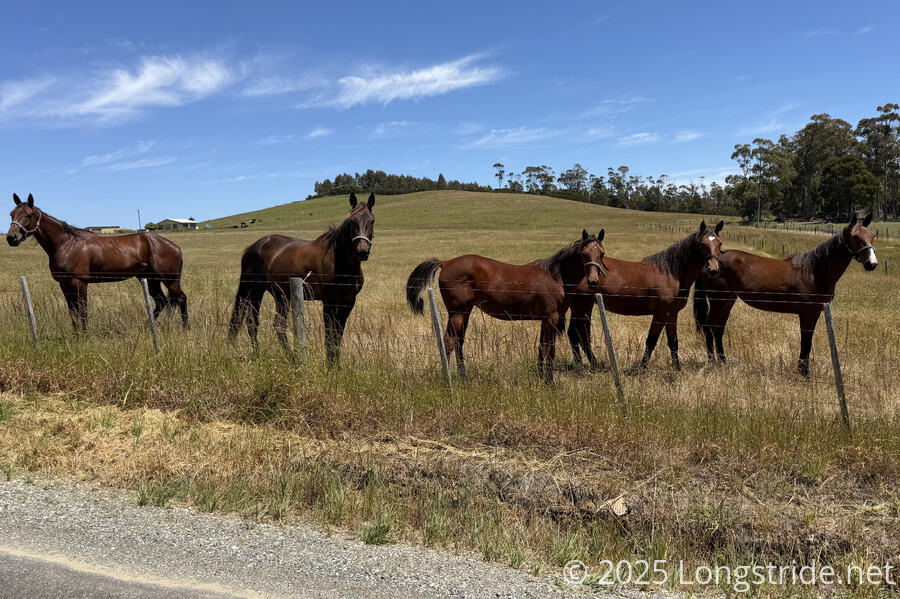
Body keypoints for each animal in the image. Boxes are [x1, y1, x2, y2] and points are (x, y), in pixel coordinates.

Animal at [6, 193, 187, 330]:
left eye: (29, 215)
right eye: (11, 214)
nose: (11, 238)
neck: (66, 244)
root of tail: (174, 246)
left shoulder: (80, 282)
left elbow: (83, 311)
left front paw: (85, 335)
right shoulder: (64, 284)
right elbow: (72, 313)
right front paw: (76, 336)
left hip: (169, 279)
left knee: (181, 298)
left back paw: (185, 329)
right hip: (151, 279)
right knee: (162, 302)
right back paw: (148, 326)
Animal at [228, 192, 375, 364]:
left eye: (372, 220)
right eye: (351, 221)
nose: (362, 251)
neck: (341, 264)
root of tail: (252, 248)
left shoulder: (348, 303)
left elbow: (337, 336)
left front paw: (336, 365)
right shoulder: (329, 302)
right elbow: (330, 337)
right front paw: (330, 365)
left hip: (281, 295)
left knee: (275, 324)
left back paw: (282, 356)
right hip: (255, 290)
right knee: (253, 322)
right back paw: (268, 355)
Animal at [405, 229, 607, 383]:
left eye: (602, 253)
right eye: (584, 254)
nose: (593, 281)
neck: (555, 277)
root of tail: (445, 262)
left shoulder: (545, 319)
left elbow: (542, 346)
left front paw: (541, 375)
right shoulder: (552, 318)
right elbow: (549, 348)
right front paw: (549, 381)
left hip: (464, 312)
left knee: (459, 342)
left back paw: (463, 376)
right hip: (457, 312)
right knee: (449, 341)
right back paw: (448, 379)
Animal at [566, 220, 723, 371]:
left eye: (719, 243)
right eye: (702, 244)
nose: (713, 269)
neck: (671, 273)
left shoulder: (672, 314)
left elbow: (673, 342)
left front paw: (677, 369)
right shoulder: (660, 314)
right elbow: (651, 341)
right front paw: (642, 369)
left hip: (578, 308)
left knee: (573, 335)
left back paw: (580, 365)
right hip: (583, 307)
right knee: (582, 336)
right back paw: (593, 365)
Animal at [693, 212, 877, 376]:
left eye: (872, 235)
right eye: (855, 237)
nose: (872, 263)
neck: (814, 271)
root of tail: (711, 263)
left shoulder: (815, 312)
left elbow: (806, 342)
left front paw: (802, 371)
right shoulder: (808, 313)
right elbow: (806, 342)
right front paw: (804, 374)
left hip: (728, 300)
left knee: (718, 329)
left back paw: (723, 362)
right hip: (718, 300)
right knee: (710, 326)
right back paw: (712, 362)